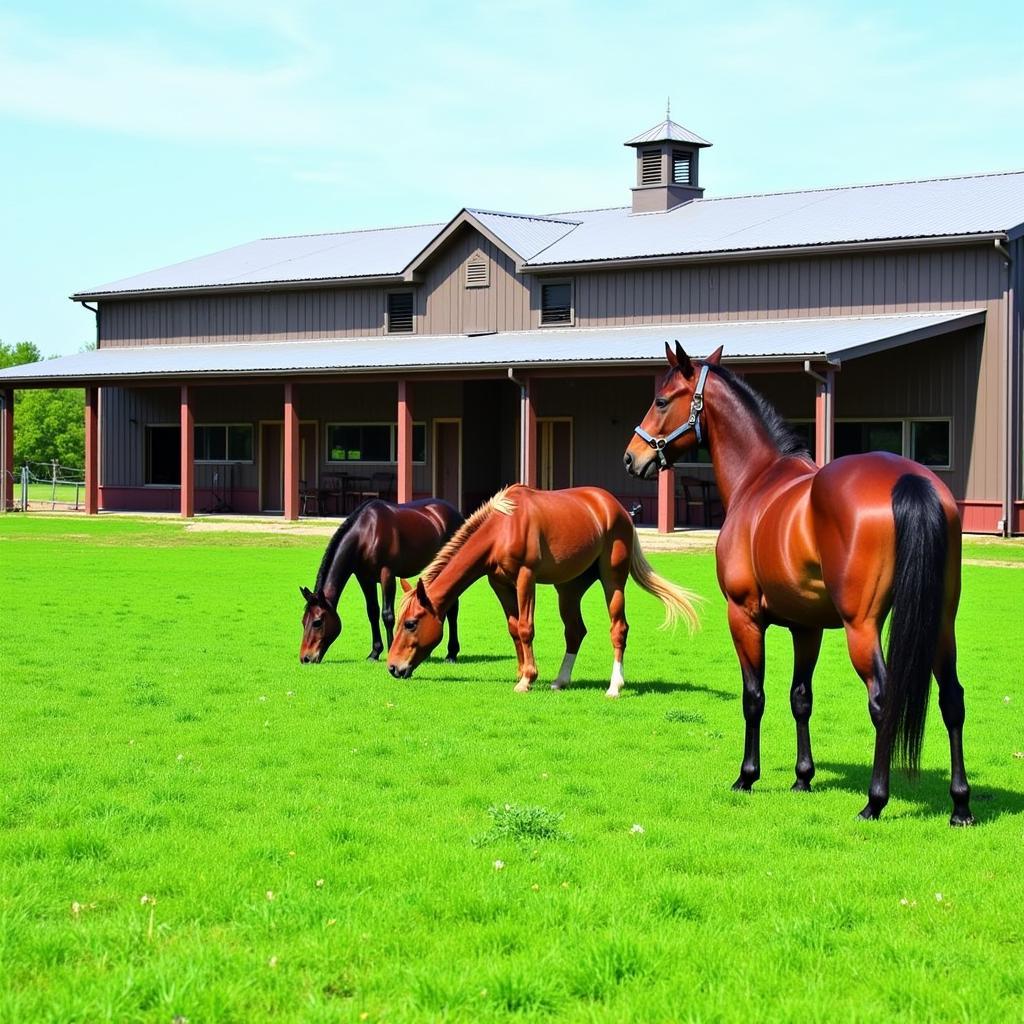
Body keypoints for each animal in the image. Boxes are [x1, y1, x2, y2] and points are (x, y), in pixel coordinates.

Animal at [299, 497, 464, 663]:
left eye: (317, 622)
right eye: (303, 621)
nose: (305, 658)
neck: (366, 534)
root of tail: (455, 512)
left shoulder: (387, 575)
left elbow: (387, 615)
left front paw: (391, 651)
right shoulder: (365, 578)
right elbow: (372, 612)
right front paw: (374, 652)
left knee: (453, 610)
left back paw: (451, 654)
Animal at [387, 481, 700, 692]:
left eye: (411, 623)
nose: (393, 667)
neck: (502, 528)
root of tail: (617, 508)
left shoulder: (525, 578)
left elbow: (526, 628)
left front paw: (527, 679)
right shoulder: (499, 584)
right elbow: (514, 628)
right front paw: (521, 672)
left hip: (613, 580)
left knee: (618, 628)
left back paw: (615, 686)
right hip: (569, 588)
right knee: (575, 631)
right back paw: (560, 681)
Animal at [618, 344, 970, 823]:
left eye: (660, 400)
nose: (631, 457)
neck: (757, 478)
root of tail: (909, 479)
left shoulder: (744, 615)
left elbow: (754, 696)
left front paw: (747, 776)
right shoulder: (808, 627)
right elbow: (800, 696)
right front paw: (803, 777)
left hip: (863, 626)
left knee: (883, 699)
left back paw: (875, 801)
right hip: (941, 620)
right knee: (952, 699)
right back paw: (961, 805)